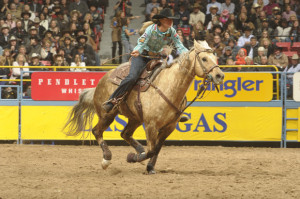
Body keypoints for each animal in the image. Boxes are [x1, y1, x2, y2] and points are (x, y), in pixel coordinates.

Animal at [65, 40, 225, 174]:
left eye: (215, 57)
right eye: (204, 58)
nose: (220, 75)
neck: (168, 86)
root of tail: (102, 79)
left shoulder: (169, 127)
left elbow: (156, 149)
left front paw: (149, 166)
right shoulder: (151, 125)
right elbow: (152, 149)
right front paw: (132, 158)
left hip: (135, 118)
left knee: (125, 134)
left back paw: (139, 151)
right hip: (108, 114)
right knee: (97, 131)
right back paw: (107, 159)